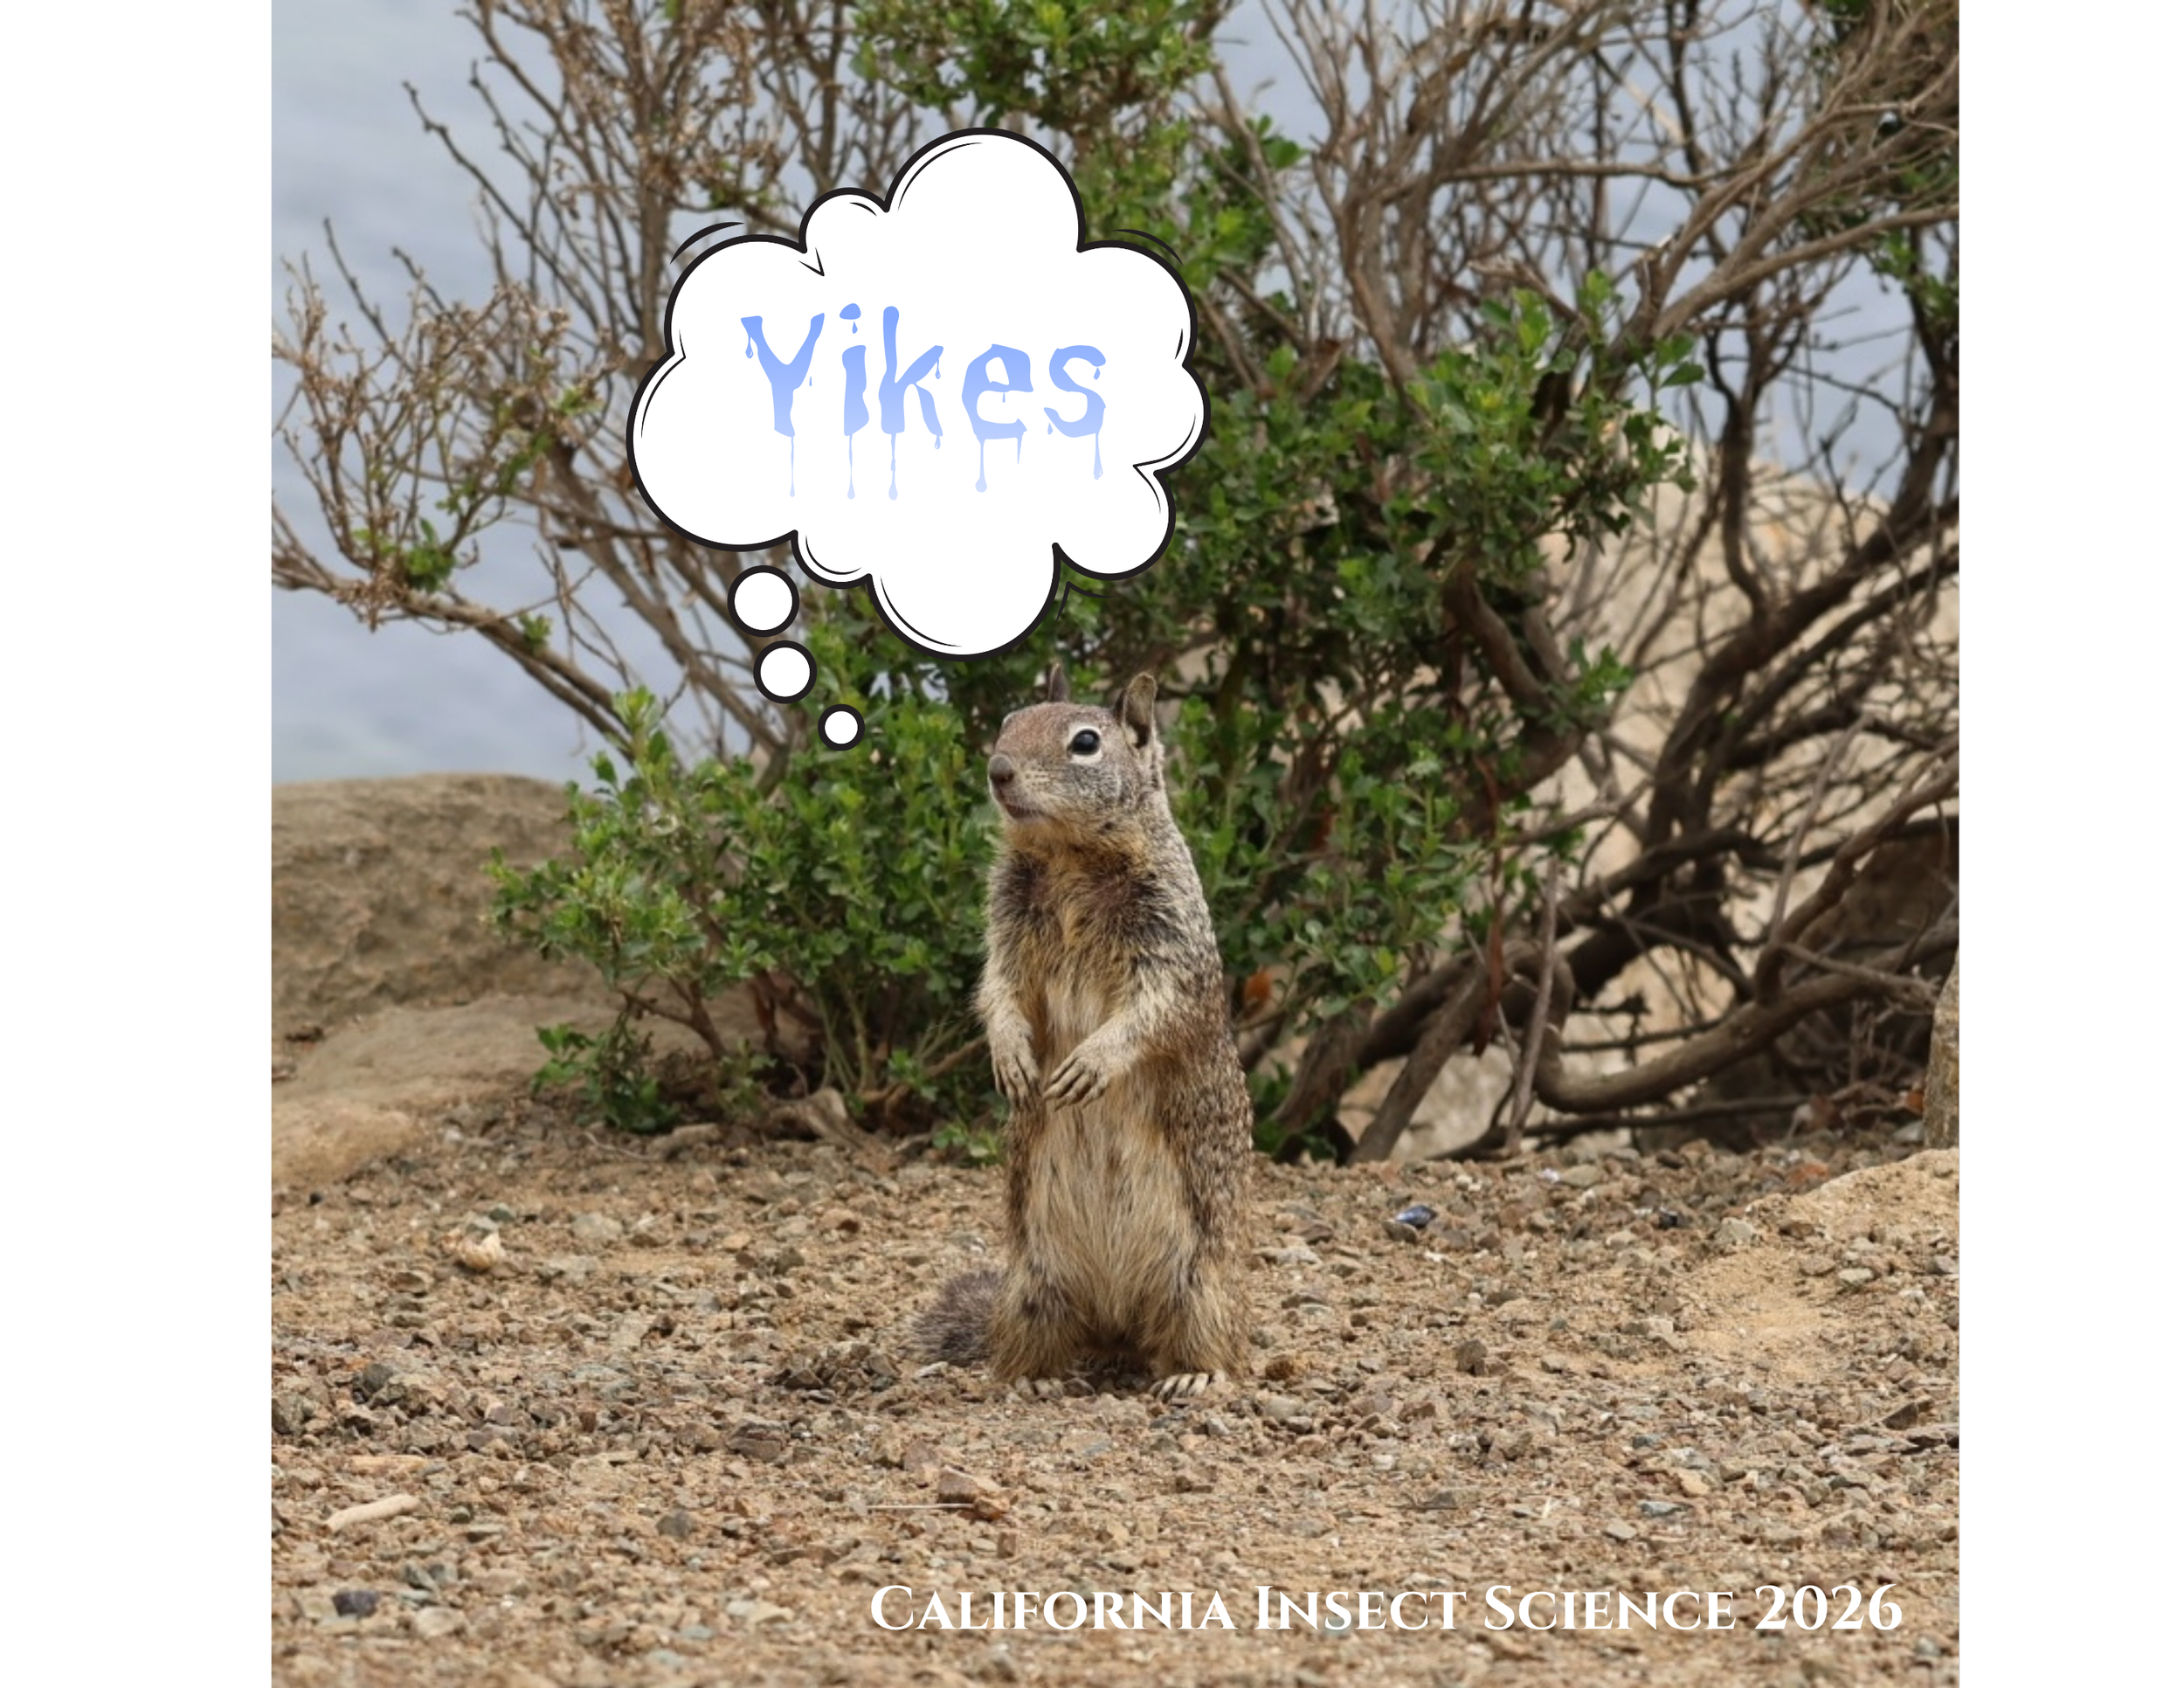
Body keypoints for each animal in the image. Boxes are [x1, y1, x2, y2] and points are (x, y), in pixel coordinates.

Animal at [915, 666, 1253, 1400]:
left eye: (1086, 742)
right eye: (1010, 721)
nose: (998, 770)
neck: (1069, 856)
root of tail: (1117, 1324)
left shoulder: (1170, 941)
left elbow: (1155, 1009)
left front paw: (1091, 1063)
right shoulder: (1005, 928)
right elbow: (998, 989)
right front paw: (1011, 1056)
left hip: (1198, 1285)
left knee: (1205, 1341)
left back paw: (1193, 1376)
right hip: (1030, 1286)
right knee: (1038, 1342)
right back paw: (1031, 1378)